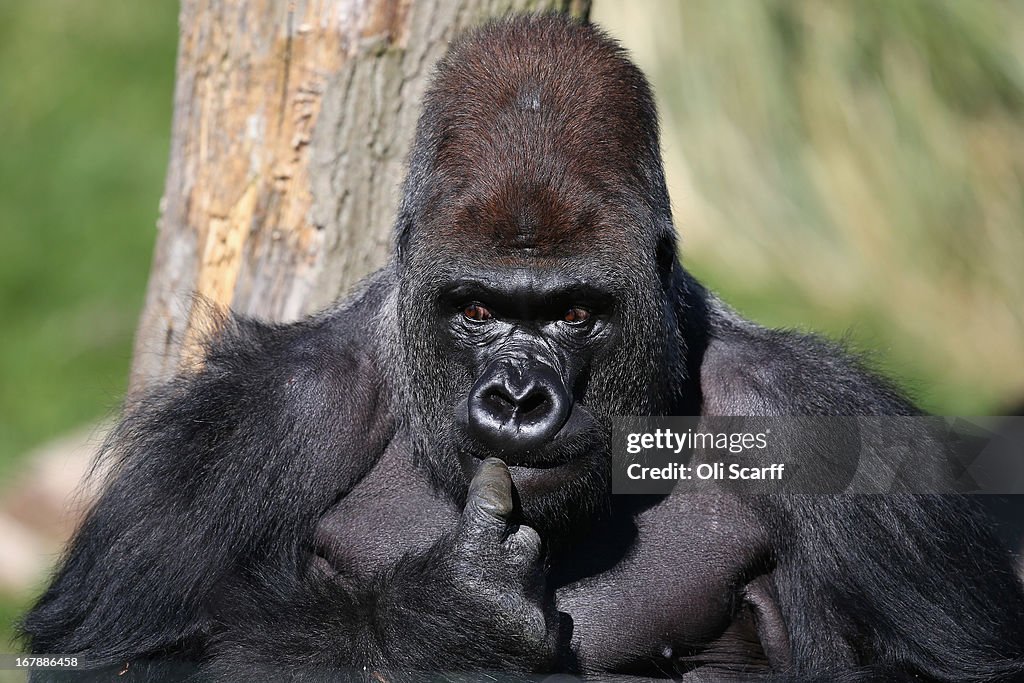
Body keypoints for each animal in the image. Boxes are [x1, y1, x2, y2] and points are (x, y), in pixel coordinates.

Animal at [18, 12, 1024, 683]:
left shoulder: (825, 425)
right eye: (475, 308)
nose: (517, 399)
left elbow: (951, 663)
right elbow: (120, 653)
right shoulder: (243, 422)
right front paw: (443, 623)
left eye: (575, 314)